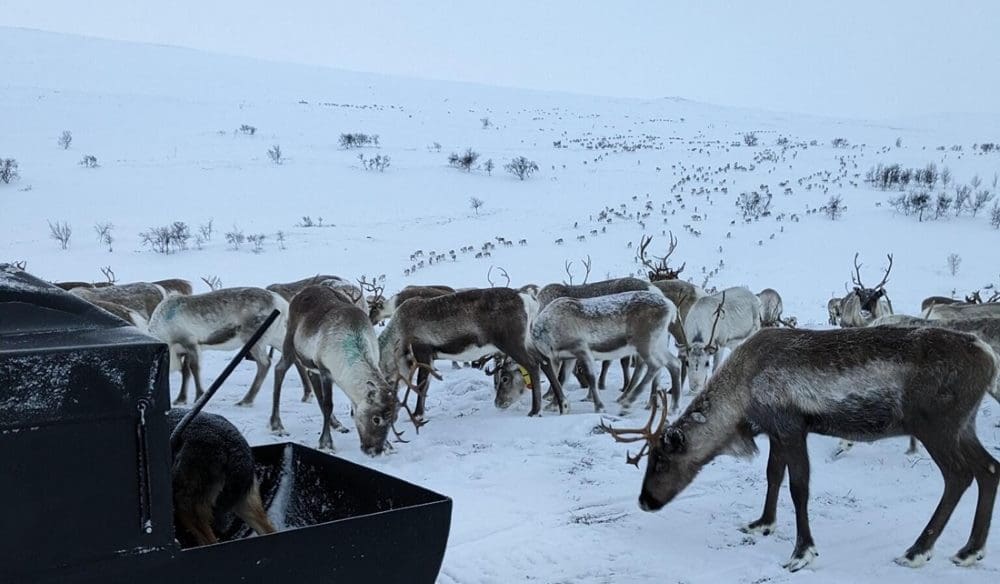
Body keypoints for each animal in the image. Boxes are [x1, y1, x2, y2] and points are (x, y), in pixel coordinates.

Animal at [147, 287, 289, 405]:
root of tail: (280, 302)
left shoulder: (190, 342)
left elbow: (194, 368)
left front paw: (199, 396)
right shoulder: (184, 350)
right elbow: (186, 371)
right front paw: (181, 399)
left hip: (254, 338)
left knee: (265, 363)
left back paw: (246, 400)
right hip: (276, 336)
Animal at [269, 285, 400, 454]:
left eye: (393, 420)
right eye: (376, 419)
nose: (374, 451)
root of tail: (303, 291)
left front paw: (388, 445)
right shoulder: (326, 371)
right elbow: (328, 404)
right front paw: (326, 443)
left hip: (311, 362)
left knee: (311, 377)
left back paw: (336, 424)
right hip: (290, 342)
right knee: (279, 369)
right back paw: (277, 425)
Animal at [378, 287, 568, 420]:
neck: (399, 333)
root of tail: (529, 301)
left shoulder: (423, 351)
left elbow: (422, 385)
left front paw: (418, 414)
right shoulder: (430, 357)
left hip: (511, 343)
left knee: (533, 365)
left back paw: (535, 411)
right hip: (527, 339)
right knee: (545, 361)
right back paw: (563, 405)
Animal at [526, 291, 681, 414]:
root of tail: (670, 307)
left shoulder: (581, 349)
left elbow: (591, 377)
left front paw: (599, 407)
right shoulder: (568, 357)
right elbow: (562, 378)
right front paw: (552, 406)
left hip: (645, 343)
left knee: (656, 365)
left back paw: (627, 404)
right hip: (659, 343)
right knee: (674, 363)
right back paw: (674, 408)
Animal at [603, 326, 999, 572]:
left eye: (662, 461)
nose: (645, 501)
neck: (742, 398)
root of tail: (988, 355)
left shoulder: (792, 426)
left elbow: (798, 487)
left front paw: (801, 552)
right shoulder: (777, 433)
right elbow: (772, 476)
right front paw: (761, 524)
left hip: (936, 425)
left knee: (959, 476)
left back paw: (917, 551)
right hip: (964, 425)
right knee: (989, 468)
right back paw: (970, 550)